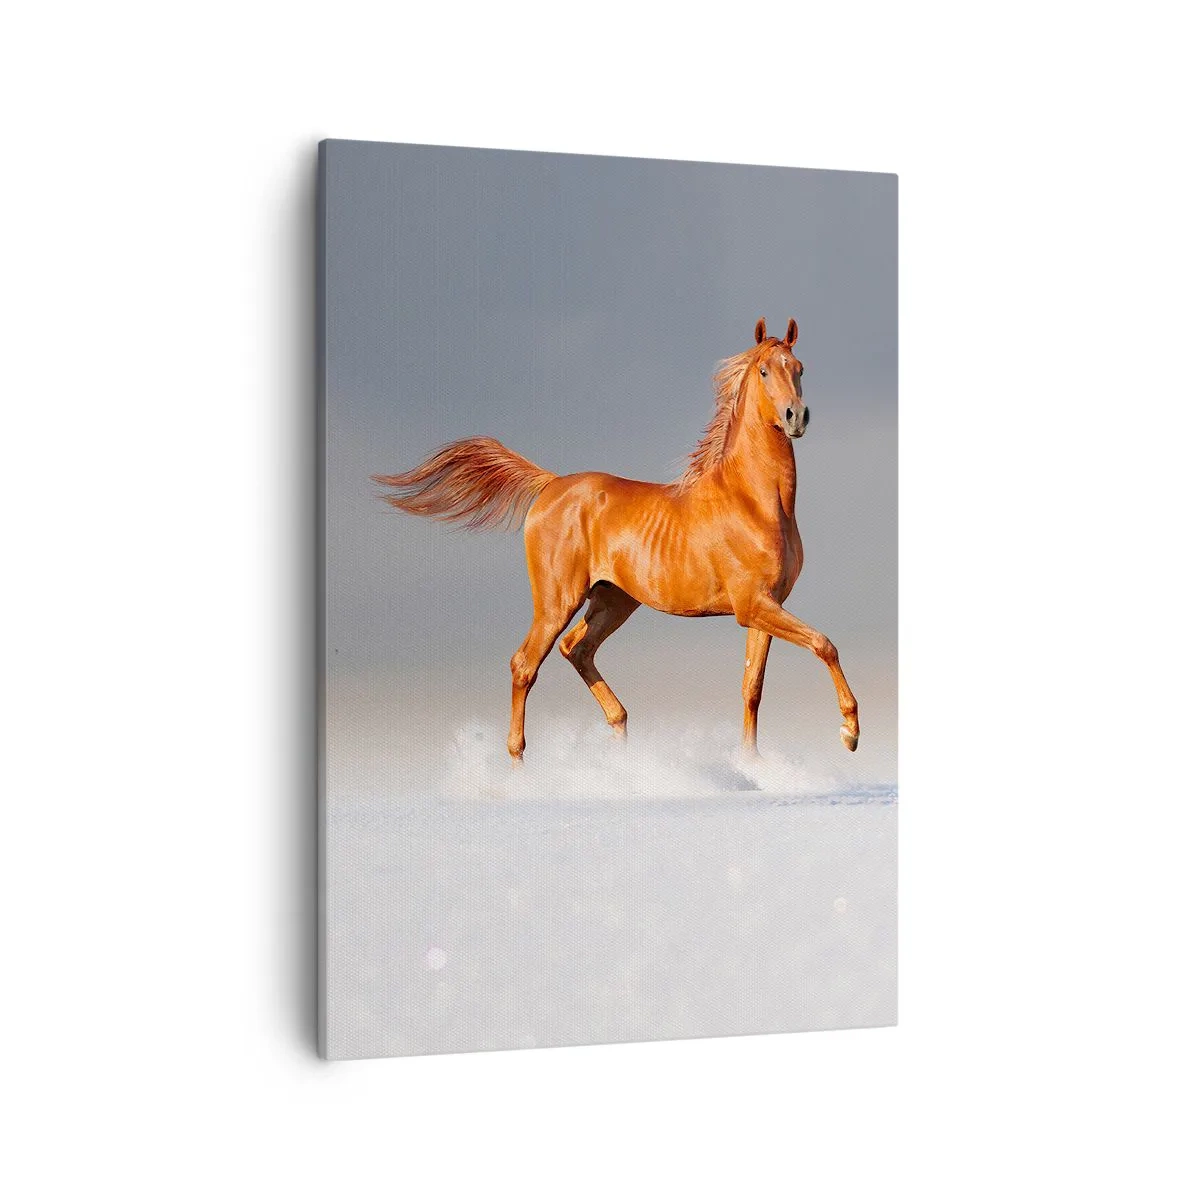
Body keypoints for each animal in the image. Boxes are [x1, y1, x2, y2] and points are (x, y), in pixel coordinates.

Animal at [373, 317, 860, 762]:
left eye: (800, 367)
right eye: (764, 371)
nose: (797, 417)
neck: (754, 501)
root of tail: (551, 485)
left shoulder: (766, 606)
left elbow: (752, 688)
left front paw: (751, 764)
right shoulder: (752, 606)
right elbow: (825, 644)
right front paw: (850, 731)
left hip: (612, 599)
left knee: (577, 649)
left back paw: (620, 736)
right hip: (558, 600)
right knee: (525, 664)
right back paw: (519, 763)